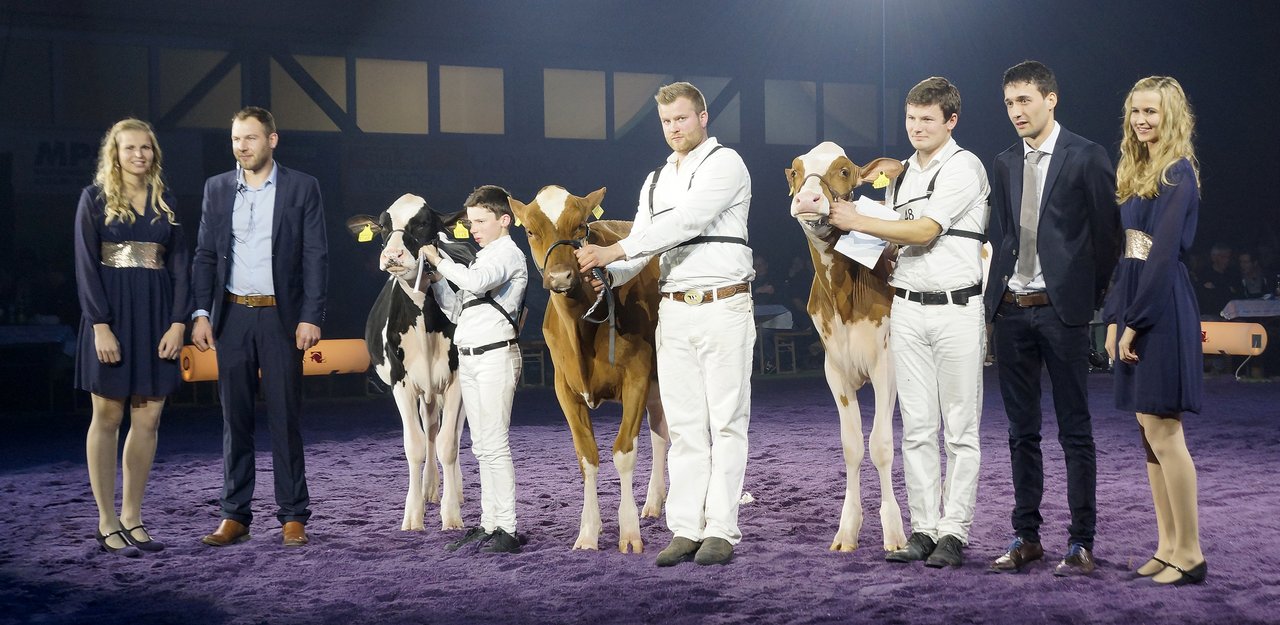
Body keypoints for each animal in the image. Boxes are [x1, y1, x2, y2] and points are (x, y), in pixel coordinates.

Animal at [345, 194, 476, 532]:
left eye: (423, 223)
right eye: (382, 226)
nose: (392, 255)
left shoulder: (456, 379)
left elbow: (448, 445)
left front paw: (450, 514)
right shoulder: (400, 381)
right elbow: (415, 445)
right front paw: (413, 515)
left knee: (450, 433)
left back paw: (454, 491)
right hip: (425, 390)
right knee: (430, 429)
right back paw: (429, 488)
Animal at [778, 142, 911, 550]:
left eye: (844, 171)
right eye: (796, 171)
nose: (808, 198)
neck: (842, 294)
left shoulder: (887, 366)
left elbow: (881, 445)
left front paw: (894, 530)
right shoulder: (834, 370)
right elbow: (852, 445)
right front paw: (848, 529)